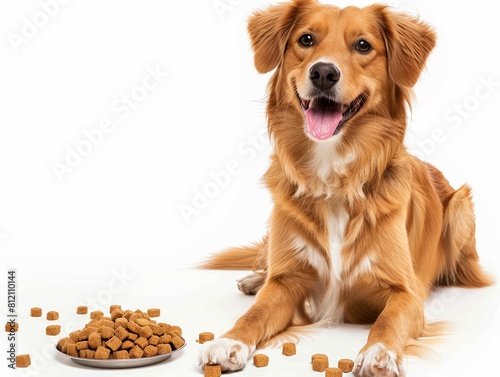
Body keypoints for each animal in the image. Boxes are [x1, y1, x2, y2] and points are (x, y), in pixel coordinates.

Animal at [196, 1, 492, 374]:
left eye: (363, 45)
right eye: (306, 39)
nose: (323, 72)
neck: (332, 177)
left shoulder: (405, 292)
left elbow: (389, 319)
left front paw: (380, 351)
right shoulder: (287, 282)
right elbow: (256, 312)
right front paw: (228, 341)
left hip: (461, 207)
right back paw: (254, 279)